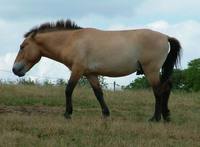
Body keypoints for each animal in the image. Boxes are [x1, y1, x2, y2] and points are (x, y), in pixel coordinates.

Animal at [12, 20, 181, 122]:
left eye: (22, 46)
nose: (15, 69)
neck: (73, 41)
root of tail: (165, 37)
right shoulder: (90, 74)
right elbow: (98, 93)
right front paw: (106, 114)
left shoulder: (77, 70)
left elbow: (68, 90)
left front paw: (67, 114)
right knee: (166, 87)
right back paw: (166, 116)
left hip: (151, 70)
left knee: (158, 91)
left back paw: (155, 118)